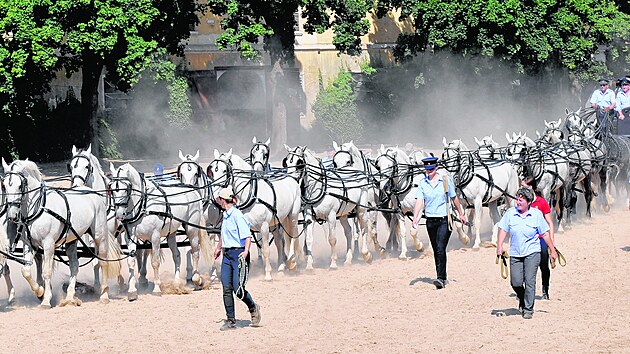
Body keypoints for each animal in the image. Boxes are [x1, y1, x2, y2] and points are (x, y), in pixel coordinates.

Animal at [2, 158, 122, 306]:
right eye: (4, 186)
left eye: (20, 186)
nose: (12, 216)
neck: (38, 208)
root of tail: (93, 192)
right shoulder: (30, 245)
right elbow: (25, 271)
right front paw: (40, 291)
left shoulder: (48, 244)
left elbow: (46, 272)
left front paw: (46, 300)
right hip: (73, 239)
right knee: (74, 266)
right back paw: (70, 297)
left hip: (99, 235)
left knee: (103, 261)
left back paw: (104, 294)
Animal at [107, 162, 209, 298]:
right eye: (111, 189)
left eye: (126, 188)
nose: (119, 214)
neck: (143, 206)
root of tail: (192, 189)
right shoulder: (130, 237)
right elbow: (131, 261)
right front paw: (132, 291)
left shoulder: (155, 236)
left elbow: (155, 262)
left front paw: (156, 288)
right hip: (172, 232)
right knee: (177, 255)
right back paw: (177, 283)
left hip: (192, 228)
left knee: (195, 251)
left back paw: (197, 280)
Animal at [209, 148, 302, 280]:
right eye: (211, 171)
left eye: (225, 170)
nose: (216, 196)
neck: (252, 195)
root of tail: (292, 178)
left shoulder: (264, 227)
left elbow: (265, 250)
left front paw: (268, 274)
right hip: (276, 222)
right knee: (279, 243)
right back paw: (280, 268)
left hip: (292, 216)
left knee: (293, 235)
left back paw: (292, 262)